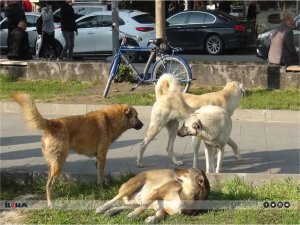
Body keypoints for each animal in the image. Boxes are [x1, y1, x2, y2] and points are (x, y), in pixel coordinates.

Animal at [10, 92, 144, 207]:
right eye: (136, 116)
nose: (143, 125)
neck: (110, 120)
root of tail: (52, 123)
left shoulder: (97, 158)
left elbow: (98, 175)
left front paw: (98, 186)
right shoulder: (102, 156)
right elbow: (101, 175)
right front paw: (101, 189)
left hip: (52, 164)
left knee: (49, 183)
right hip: (59, 163)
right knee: (49, 184)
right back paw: (50, 203)